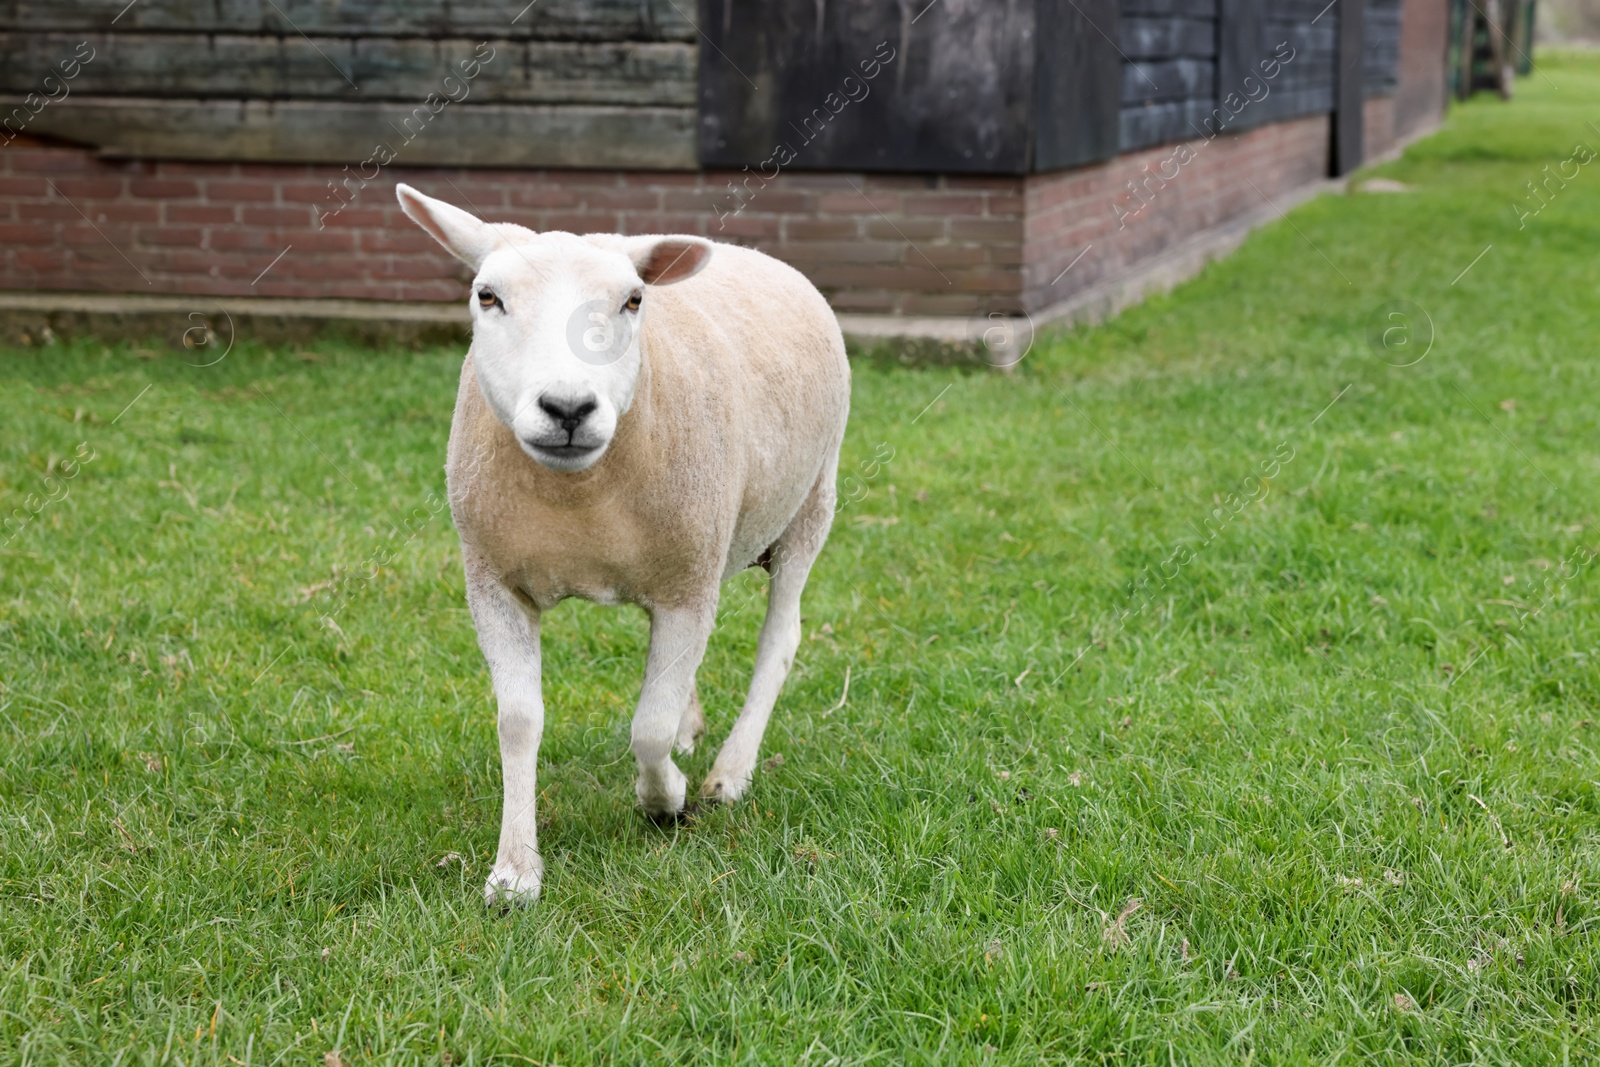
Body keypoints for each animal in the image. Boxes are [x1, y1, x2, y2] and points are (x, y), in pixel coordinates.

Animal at [395, 187, 857, 908]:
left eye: (634, 300)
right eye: (487, 296)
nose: (567, 408)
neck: (579, 499)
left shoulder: (687, 585)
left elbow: (649, 728)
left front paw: (665, 799)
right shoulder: (494, 582)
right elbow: (519, 720)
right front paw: (514, 871)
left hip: (811, 505)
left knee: (778, 641)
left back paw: (729, 773)